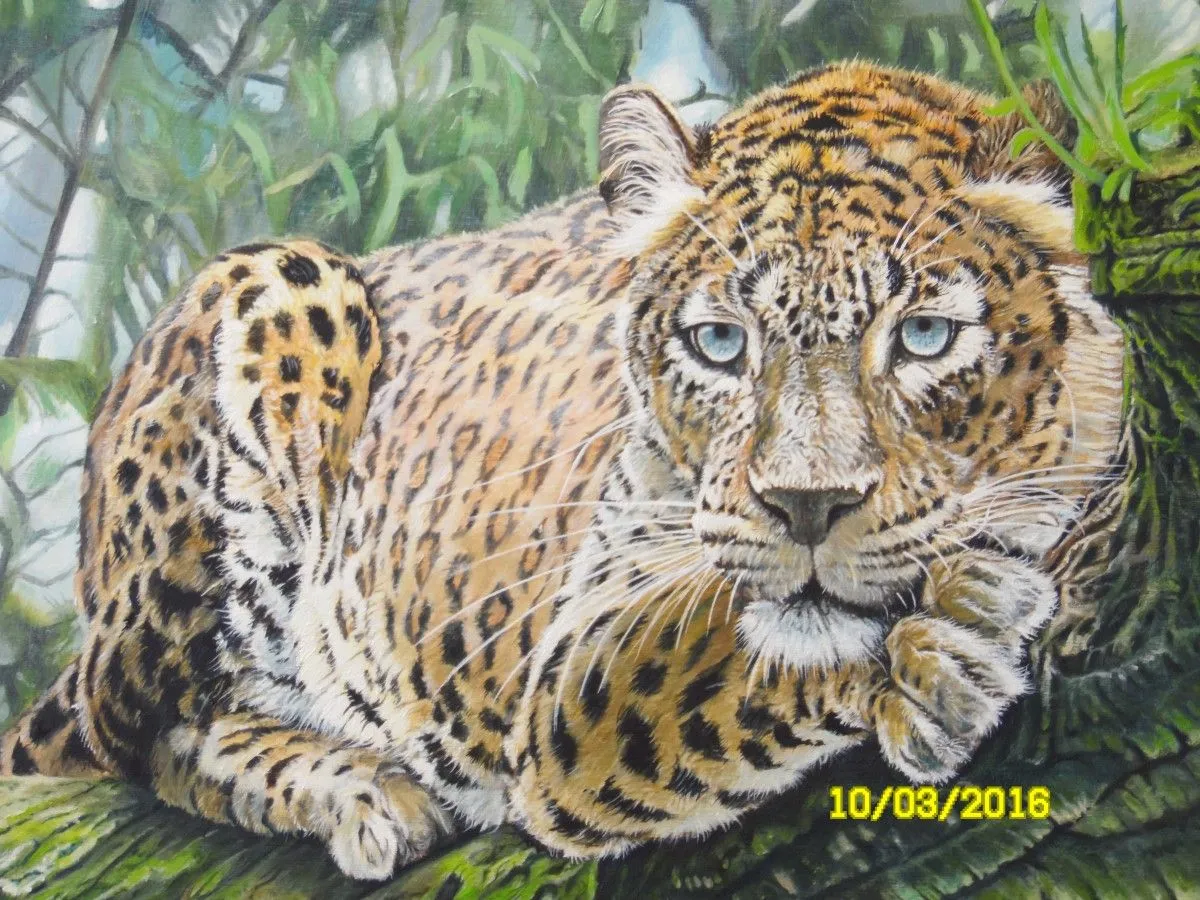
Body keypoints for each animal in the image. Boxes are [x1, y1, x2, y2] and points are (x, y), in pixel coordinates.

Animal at [1, 61, 1126, 881]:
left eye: (926, 335)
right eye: (720, 344)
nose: (806, 507)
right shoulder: (578, 668)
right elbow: (704, 654)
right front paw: (940, 639)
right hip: (277, 291)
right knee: (144, 732)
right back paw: (361, 790)